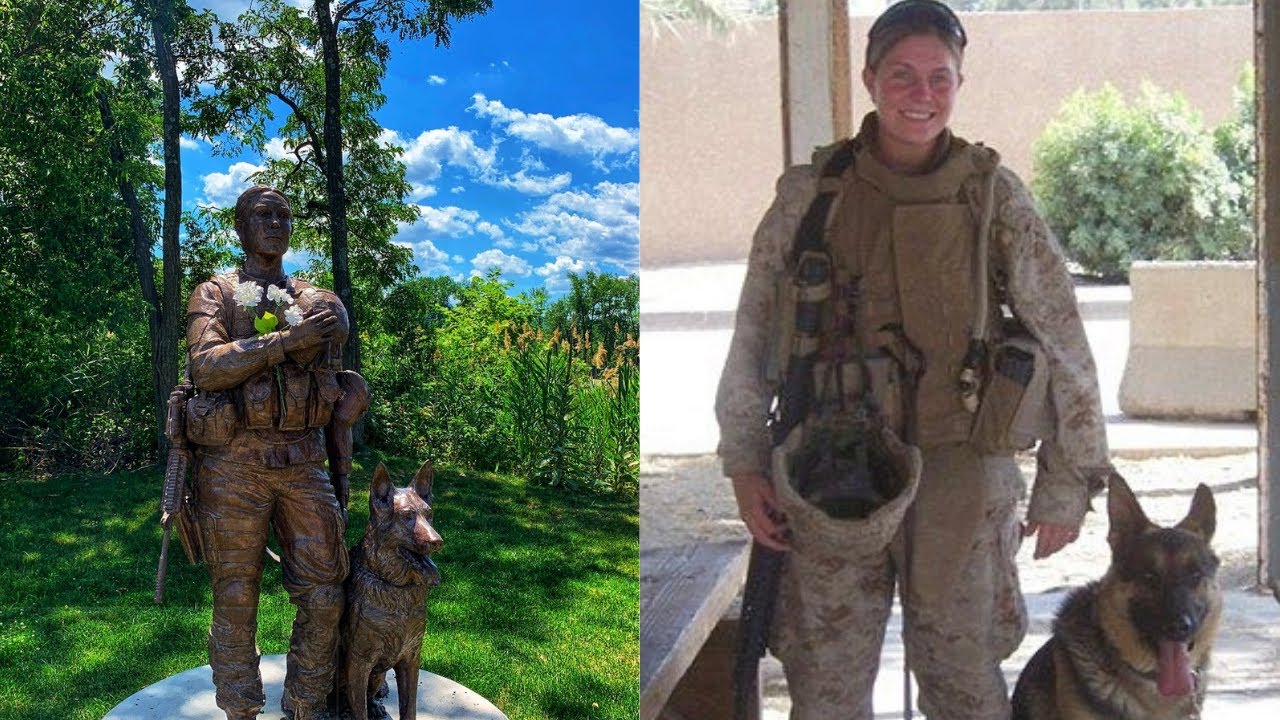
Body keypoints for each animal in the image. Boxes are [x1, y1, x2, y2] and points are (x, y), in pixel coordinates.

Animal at [335, 458, 445, 717]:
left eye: (429, 515)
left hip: (380, 673)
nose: (437, 541)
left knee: (371, 694)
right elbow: (359, 711)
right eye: (406, 516)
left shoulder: (411, 658)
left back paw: (376, 706)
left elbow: (410, 707)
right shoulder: (359, 662)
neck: (397, 589)